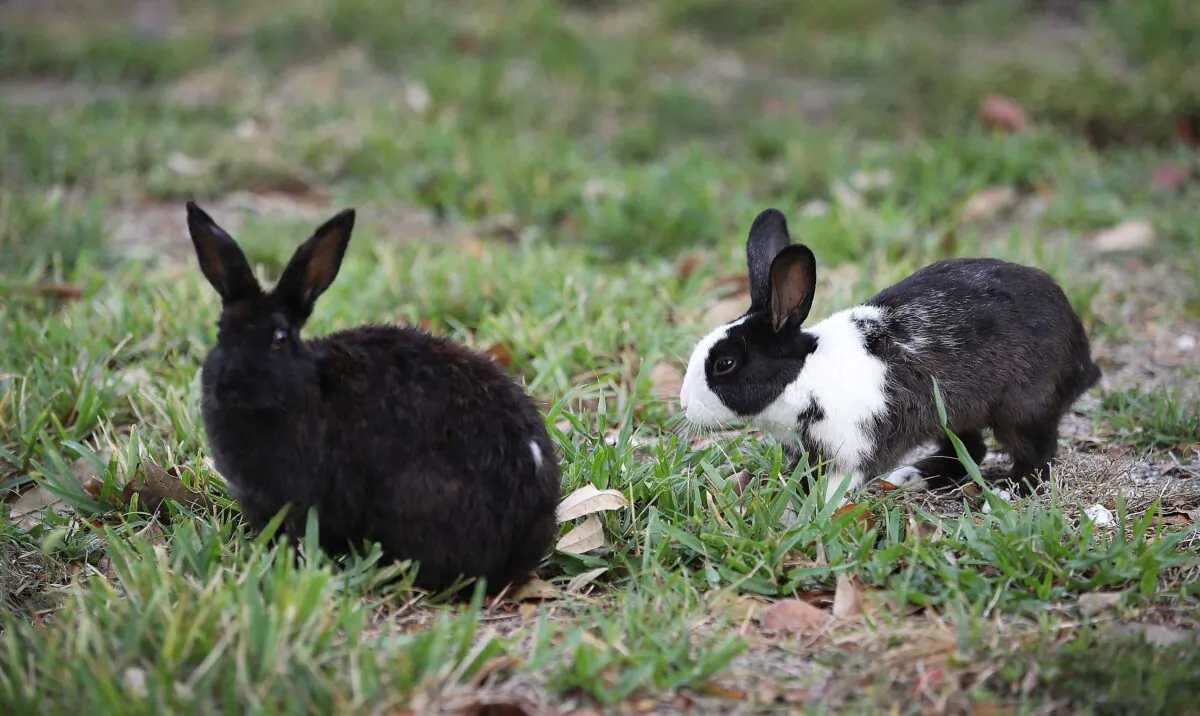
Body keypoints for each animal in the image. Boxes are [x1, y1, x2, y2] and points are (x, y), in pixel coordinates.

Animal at [679, 207, 1101, 507]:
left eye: (725, 364)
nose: (685, 405)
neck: (804, 376)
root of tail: (1083, 356)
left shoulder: (851, 451)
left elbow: (836, 487)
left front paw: (813, 513)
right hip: (951, 414)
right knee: (969, 450)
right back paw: (910, 477)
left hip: (1023, 409)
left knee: (1038, 456)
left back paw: (1007, 491)